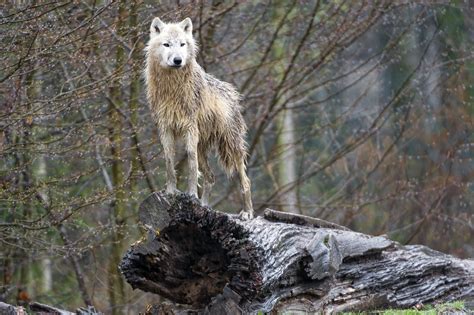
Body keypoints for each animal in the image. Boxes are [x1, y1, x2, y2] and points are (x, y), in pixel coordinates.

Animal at [144, 17, 254, 220]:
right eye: (167, 44)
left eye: (182, 44)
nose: (177, 60)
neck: (172, 88)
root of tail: (233, 93)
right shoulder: (165, 128)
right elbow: (169, 162)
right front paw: (170, 192)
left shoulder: (189, 128)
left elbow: (191, 165)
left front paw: (192, 195)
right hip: (204, 148)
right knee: (211, 177)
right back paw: (204, 207)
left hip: (231, 146)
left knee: (245, 180)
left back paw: (247, 212)